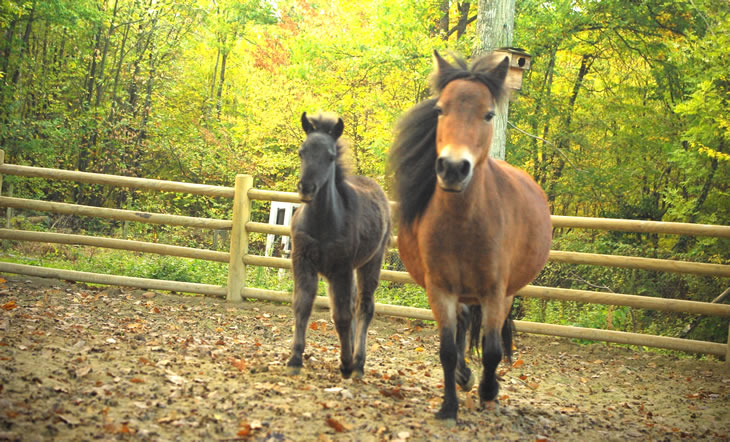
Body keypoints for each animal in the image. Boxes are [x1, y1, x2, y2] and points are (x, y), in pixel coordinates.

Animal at [284, 112, 390, 378]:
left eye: (330, 156)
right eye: (302, 151)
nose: (306, 188)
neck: (323, 221)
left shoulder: (341, 267)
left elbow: (342, 316)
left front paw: (346, 362)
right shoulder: (302, 261)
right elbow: (302, 306)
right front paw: (294, 359)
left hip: (371, 262)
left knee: (364, 307)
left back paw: (358, 363)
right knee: (352, 304)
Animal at [390, 52, 548, 422]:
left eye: (489, 114)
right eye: (439, 110)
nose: (452, 168)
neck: (463, 225)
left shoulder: (494, 292)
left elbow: (491, 351)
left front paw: (490, 392)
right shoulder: (440, 290)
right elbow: (448, 350)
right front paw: (449, 406)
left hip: (505, 295)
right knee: (462, 327)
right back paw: (464, 377)